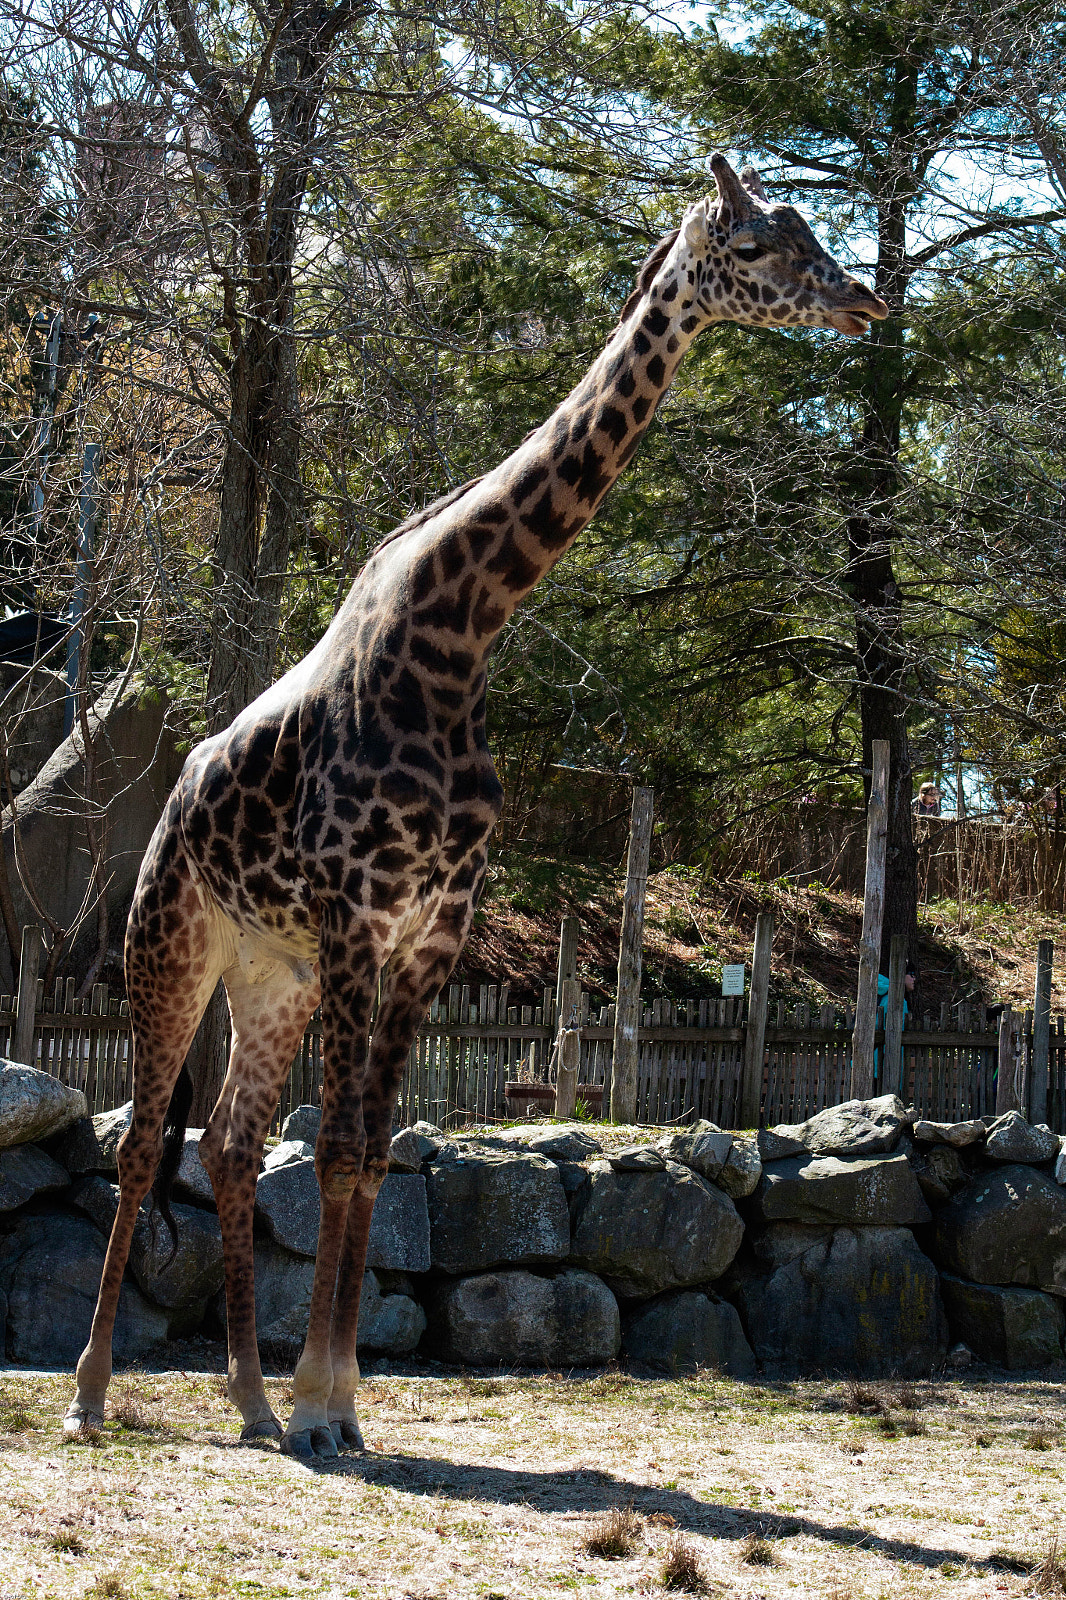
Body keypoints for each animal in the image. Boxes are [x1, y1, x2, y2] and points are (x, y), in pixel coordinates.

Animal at [64, 154, 887, 1458]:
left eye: (806, 233)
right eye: (755, 246)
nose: (862, 302)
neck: (462, 634)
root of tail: (168, 809)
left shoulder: (427, 934)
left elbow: (371, 1156)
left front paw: (334, 1402)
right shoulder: (358, 915)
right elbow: (338, 1150)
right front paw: (323, 1403)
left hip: (271, 976)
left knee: (233, 1144)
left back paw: (246, 1398)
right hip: (172, 944)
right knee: (147, 1141)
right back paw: (94, 1393)